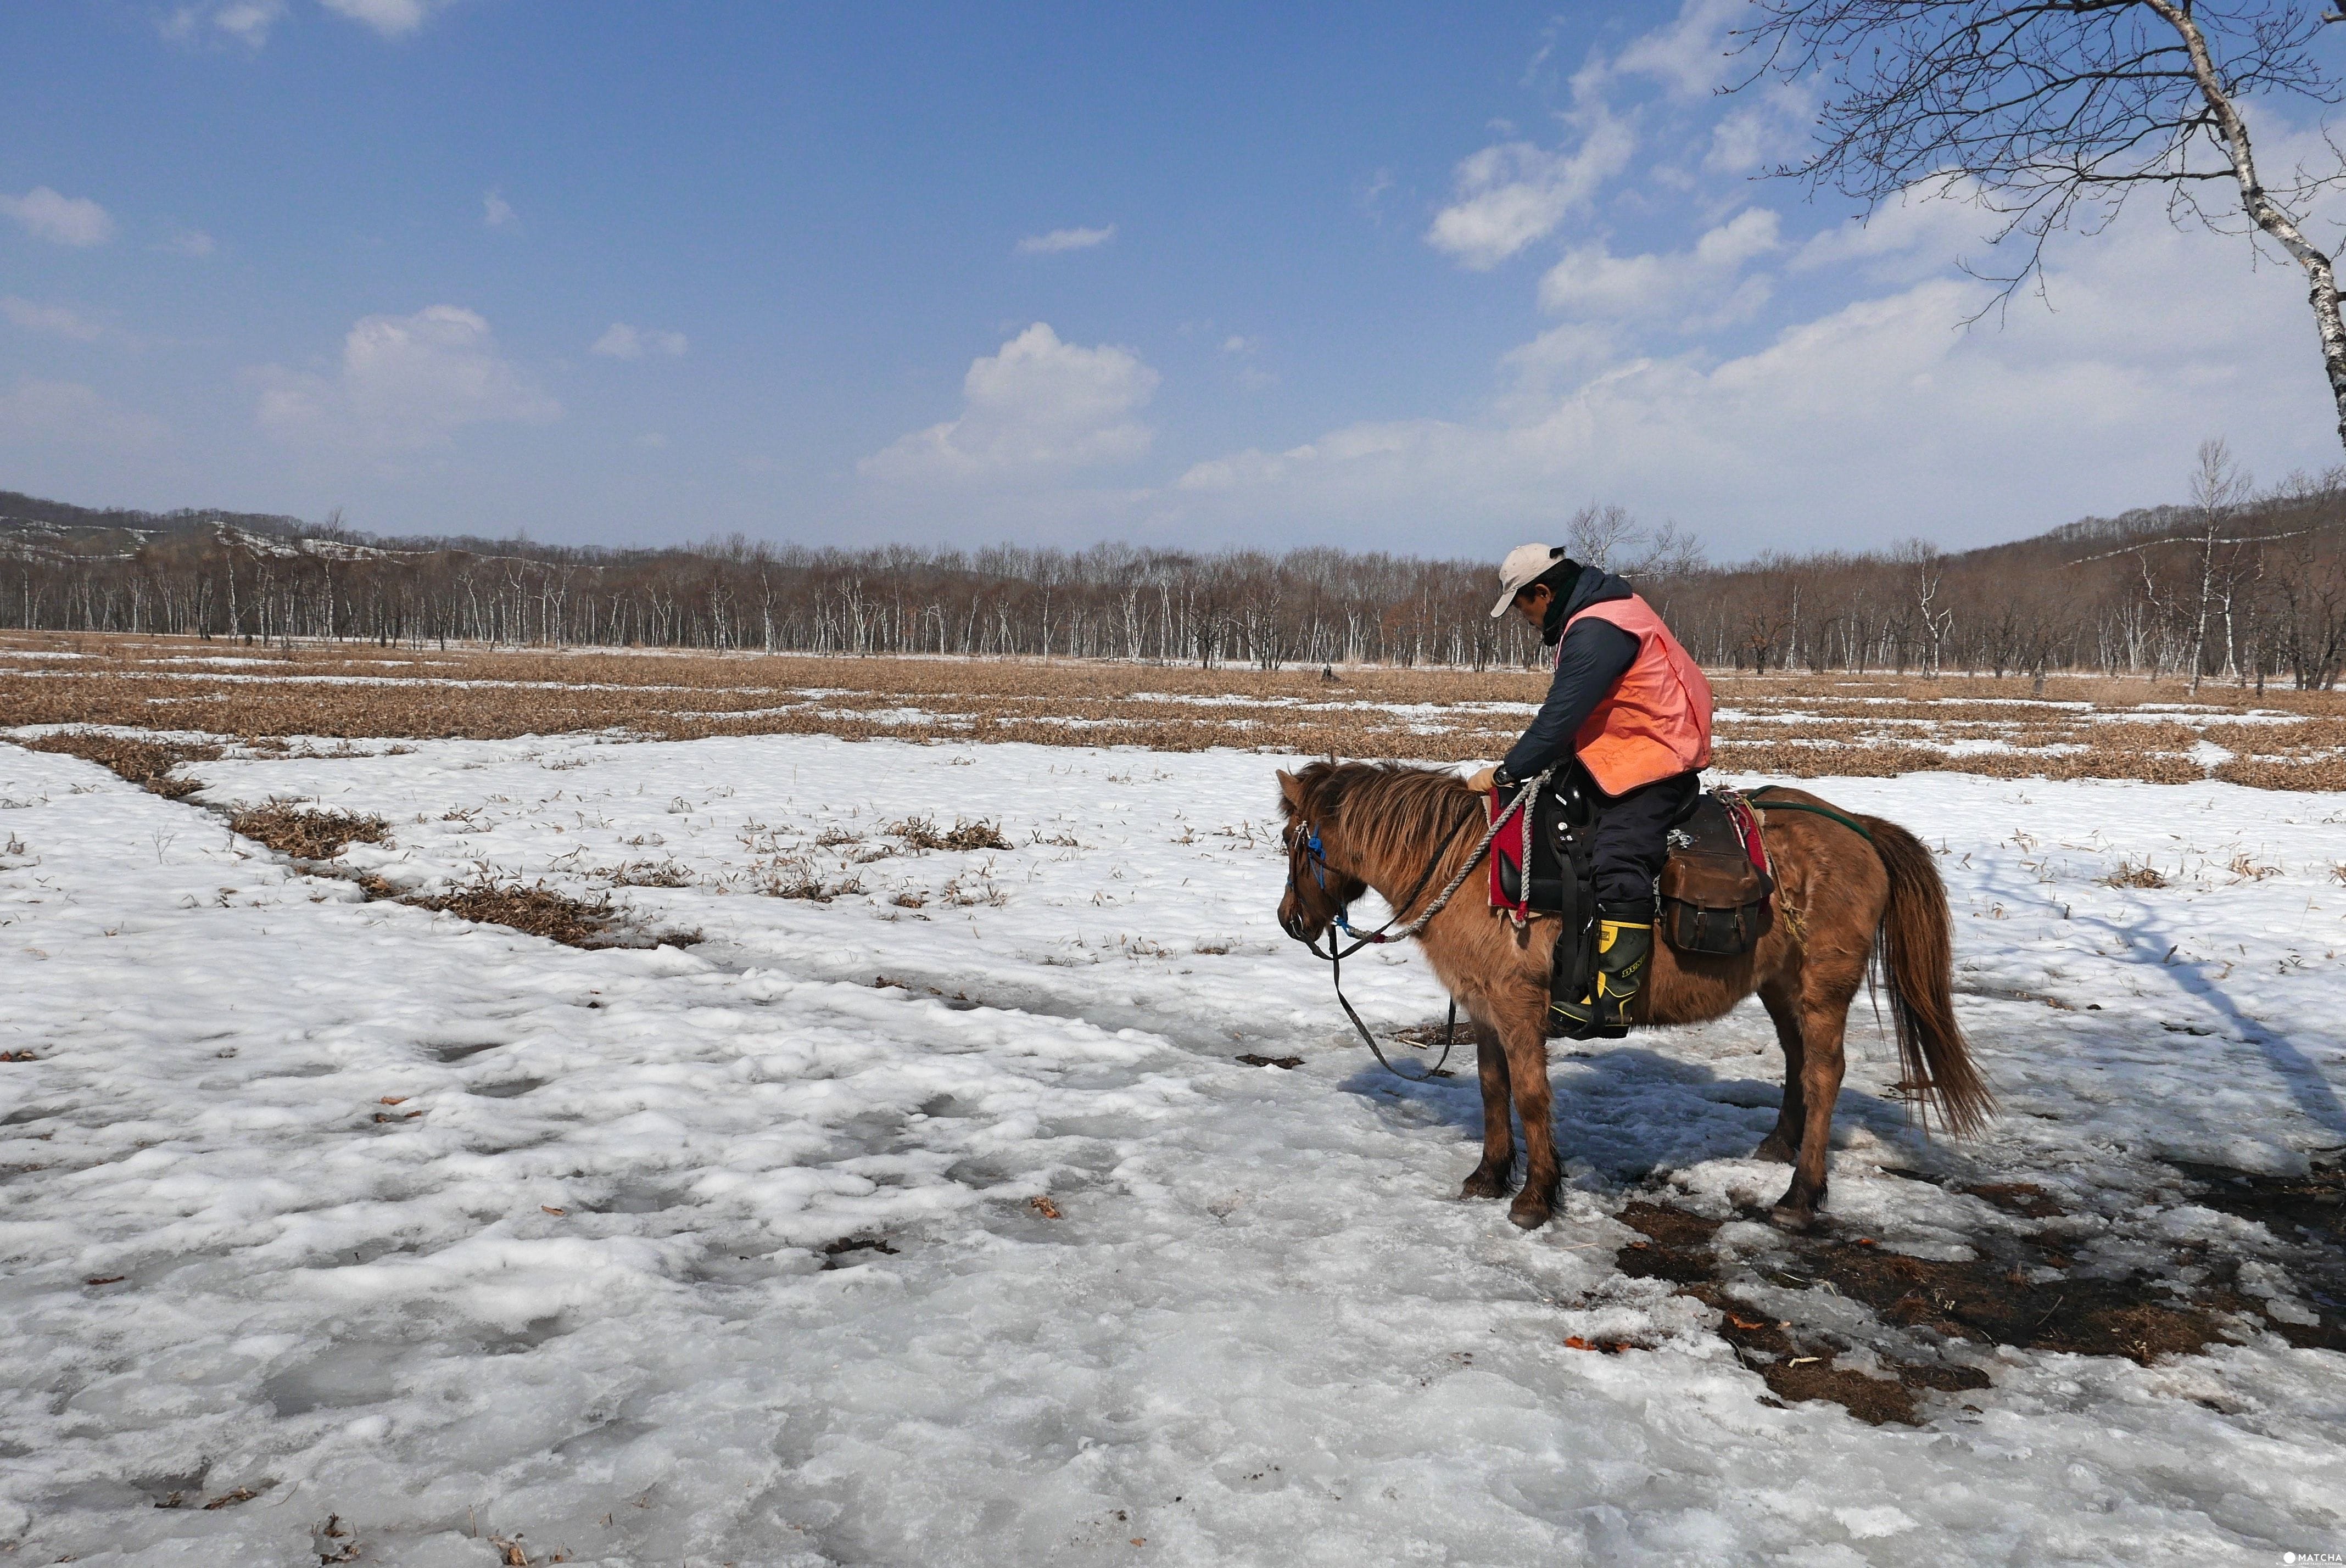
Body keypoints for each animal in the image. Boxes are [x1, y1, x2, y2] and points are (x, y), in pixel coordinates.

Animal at [1276, 764, 1989, 1228]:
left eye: (1291, 840)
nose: (1290, 921)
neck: (1470, 866)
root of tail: (1859, 828)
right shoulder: (1484, 1009)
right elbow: (1492, 1090)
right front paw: (1488, 1176)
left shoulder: (1518, 1008)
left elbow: (1531, 1097)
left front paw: (1536, 1196)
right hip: (1780, 987)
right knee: (1798, 1065)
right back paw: (1777, 1149)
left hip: (1822, 988)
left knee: (1825, 1073)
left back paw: (1799, 1197)